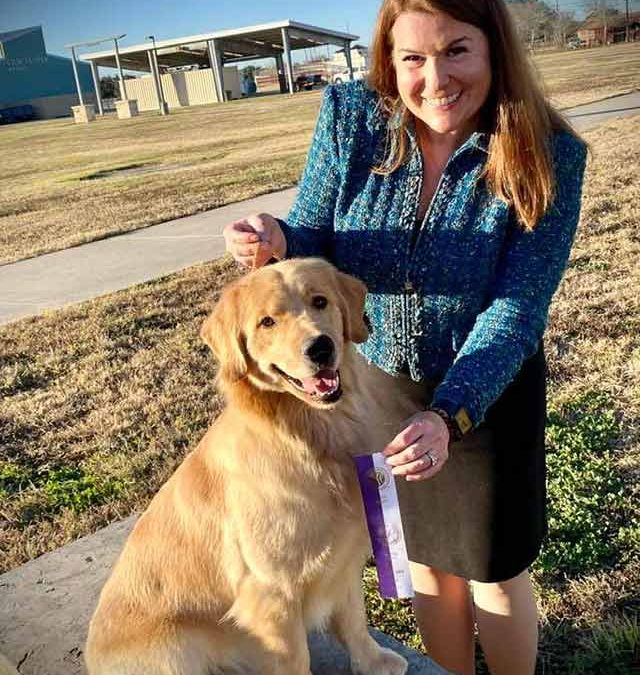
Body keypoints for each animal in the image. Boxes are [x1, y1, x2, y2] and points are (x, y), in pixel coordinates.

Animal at [86, 258, 424, 675]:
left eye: (320, 301)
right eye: (267, 322)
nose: (321, 347)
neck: (307, 436)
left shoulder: (344, 560)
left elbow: (353, 619)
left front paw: (372, 661)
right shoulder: (272, 593)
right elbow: (296, 660)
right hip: (177, 647)